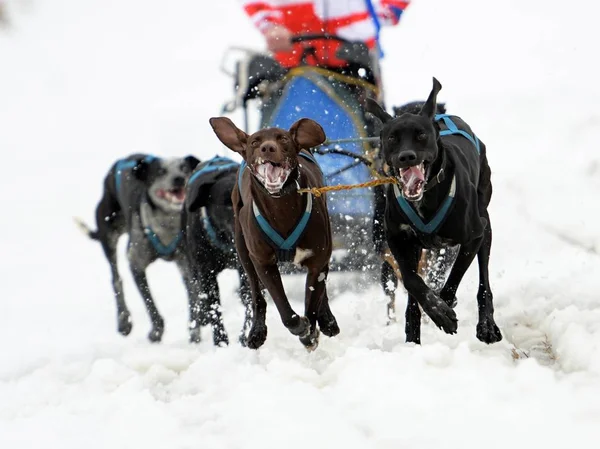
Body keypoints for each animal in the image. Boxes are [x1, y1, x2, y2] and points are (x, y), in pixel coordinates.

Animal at [75, 152, 199, 342]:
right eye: (161, 171)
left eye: (184, 168)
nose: (179, 178)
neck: (167, 224)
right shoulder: (136, 264)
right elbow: (150, 304)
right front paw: (156, 331)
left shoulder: (187, 265)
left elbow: (194, 299)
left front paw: (195, 332)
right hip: (108, 238)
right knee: (116, 280)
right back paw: (124, 320)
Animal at [209, 117, 340, 348]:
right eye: (254, 142)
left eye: (284, 139)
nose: (268, 148)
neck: (281, 206)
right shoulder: (263, 262)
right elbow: (284, 310)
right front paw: (301, 327)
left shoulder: (318, 260)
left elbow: (313, 300)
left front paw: (310, 332)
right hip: (243, 251)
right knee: (256, 295)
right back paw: (256, 332)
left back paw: (327, 320)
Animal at [366, 78, 502, 344]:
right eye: (392, 138)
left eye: (421, 135)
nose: (406, 157)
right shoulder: (397, 240)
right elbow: (412, 281)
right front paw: (431, 313)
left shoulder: (473, 237)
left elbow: (452, 279)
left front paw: (443, 310)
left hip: (485, 225)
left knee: (484, 282)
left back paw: (487, 326)